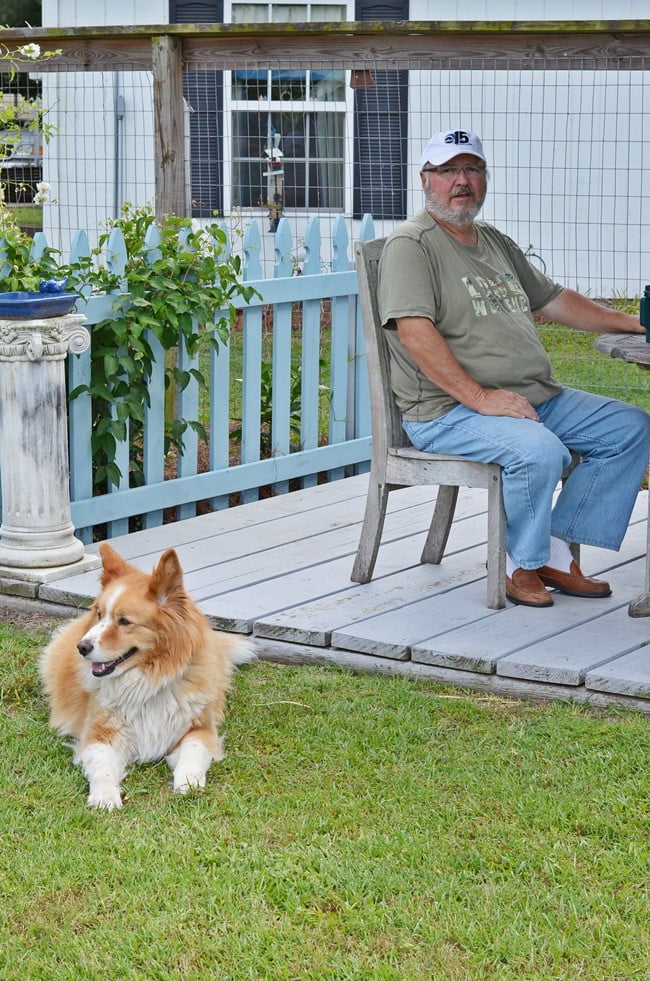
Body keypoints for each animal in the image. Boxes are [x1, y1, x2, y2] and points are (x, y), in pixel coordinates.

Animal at [39, 540, 253, 808]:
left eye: (124, 621)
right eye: (99, 614)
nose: (82, 647)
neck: (148, 681)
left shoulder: (200, 730)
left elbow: (193, 752)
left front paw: (188, 782)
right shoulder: (98, 737)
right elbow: (102, 768)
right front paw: (105, 795)